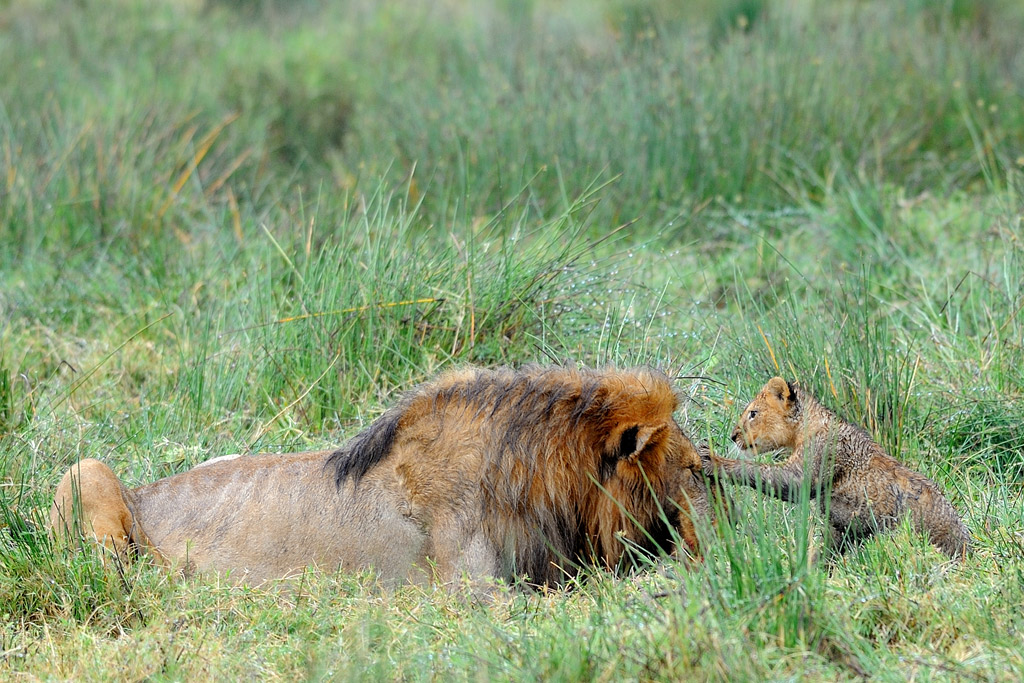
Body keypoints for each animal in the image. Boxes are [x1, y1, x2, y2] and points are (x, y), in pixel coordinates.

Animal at [702, 377, 971, 560]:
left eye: (753, 413)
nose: (733, 436)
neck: (809, 427)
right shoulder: (837, 527)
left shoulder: (811, 467)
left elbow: (767, 474)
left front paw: (714, 460)